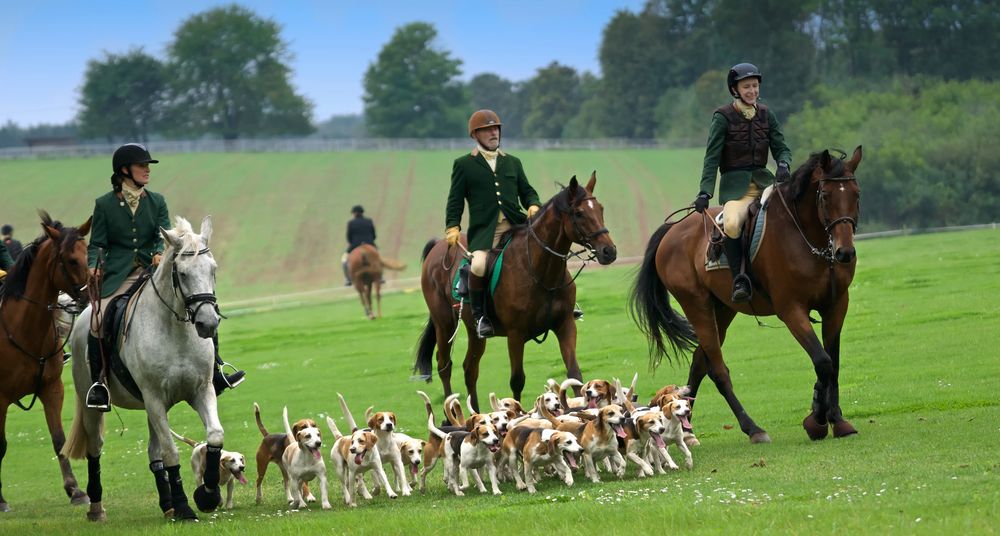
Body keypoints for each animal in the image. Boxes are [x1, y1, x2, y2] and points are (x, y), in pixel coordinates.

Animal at [0, 209, 92, 510]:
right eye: (71, 259)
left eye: (88, 253)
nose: (89, 295)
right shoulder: (0, 398)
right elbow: (0, 445)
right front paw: (0, 500)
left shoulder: (51, 388)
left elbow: (59, 439)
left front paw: (75, 490)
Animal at [63, 216, 226, 520]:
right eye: (182, 273)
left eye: (213, 269)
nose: (208, 324)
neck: (175, 331)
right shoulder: (154, 398)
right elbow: (172, 452)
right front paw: (185, 507)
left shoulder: (201, 391)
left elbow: (214, 436)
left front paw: (207, 494)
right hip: (97, 405)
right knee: (95, 448)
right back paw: (96, 507)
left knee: (154, 453)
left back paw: (167, 504)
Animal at [414, 172, 616, 410]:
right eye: (579, 213)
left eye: (600, 209)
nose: (609, 251)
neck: (539, 270)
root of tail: (438, 247)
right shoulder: (515, 334)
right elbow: (517, 380)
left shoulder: (565, 324)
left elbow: (574, 373)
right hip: (444, 323)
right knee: (444, 365)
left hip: (474, 331)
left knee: (470, 369)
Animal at [632, 147, 860, 444]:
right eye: (825, 196)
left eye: (856, 195)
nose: (845, 252)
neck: (808, 239)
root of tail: (672, 230)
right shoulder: (791, 310)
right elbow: (823, 361)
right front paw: (817, 420)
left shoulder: (836, 305)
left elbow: (834, 364)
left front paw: (837, 419)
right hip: (697, 306)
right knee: (718, 370)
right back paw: (752, 428)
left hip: (722, 309)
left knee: (700, 362)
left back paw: (686, 426)